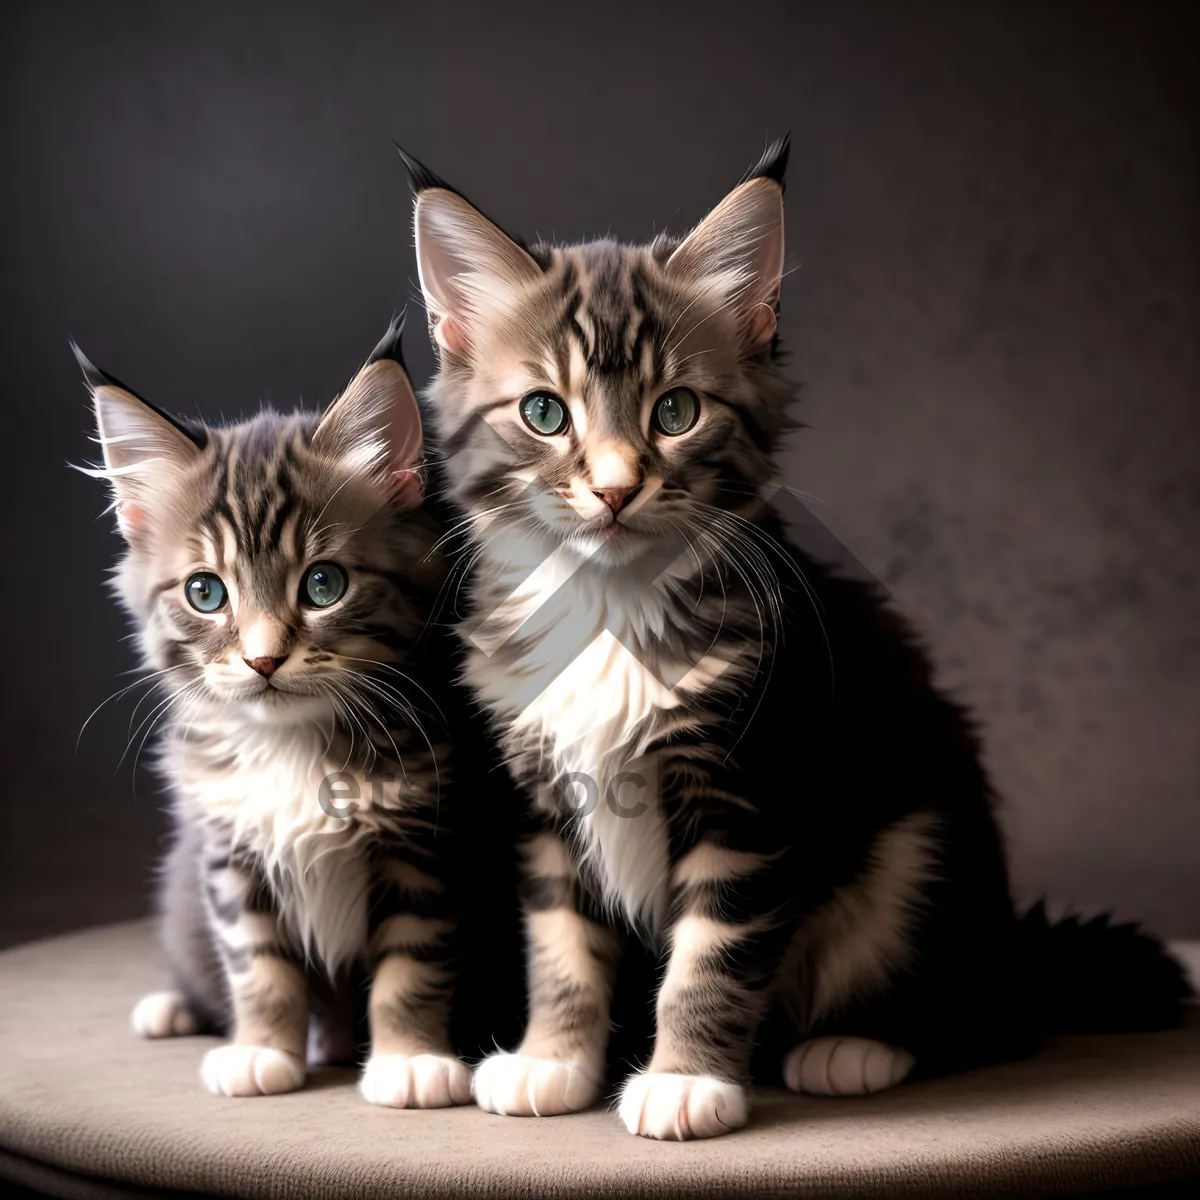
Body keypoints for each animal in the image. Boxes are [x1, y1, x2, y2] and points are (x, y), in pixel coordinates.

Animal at [77, 316, 496, 1104]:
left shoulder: (424, 838)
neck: (294, 746)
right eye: (205, 592)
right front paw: (261, 1050)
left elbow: (412, 961)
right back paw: (174, 1006)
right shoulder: (227, 850)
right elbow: (257, 963)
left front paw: (410, 1060)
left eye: (323, 585)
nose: (264, 659)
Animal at [398, 142, 1185, 1142]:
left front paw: (685, 1081)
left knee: (984, 1014)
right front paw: (553, 1061)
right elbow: (561, 944)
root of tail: (1010, 947)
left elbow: (709, 958)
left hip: (925, 837)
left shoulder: (750, 790)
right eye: (545, 413)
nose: (614, 488)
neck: (611, 605)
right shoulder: (546, 805)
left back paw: (858, 1045)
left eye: (676, 411)